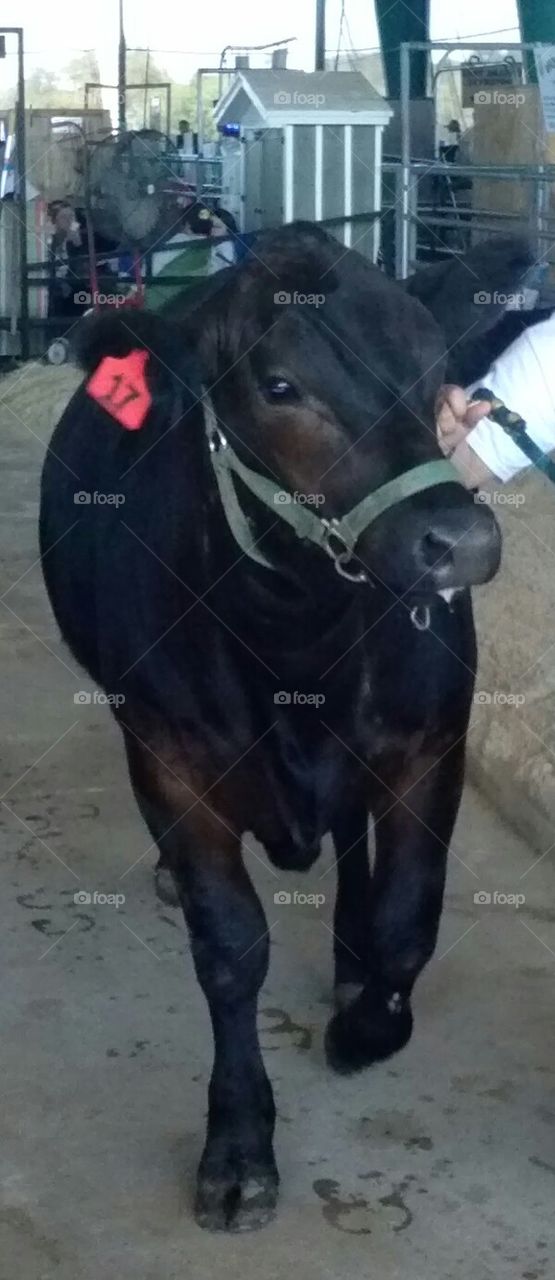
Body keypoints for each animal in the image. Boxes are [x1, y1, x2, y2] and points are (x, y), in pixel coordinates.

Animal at [40, 223, 502, 1232]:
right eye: (279, 385)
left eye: (434, 367)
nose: (461, 542)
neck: (298, 634)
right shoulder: (170, 760)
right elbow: (229, 950)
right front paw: (240, 1147)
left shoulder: (428, 740)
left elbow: (408, 918)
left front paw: (367, 1024)